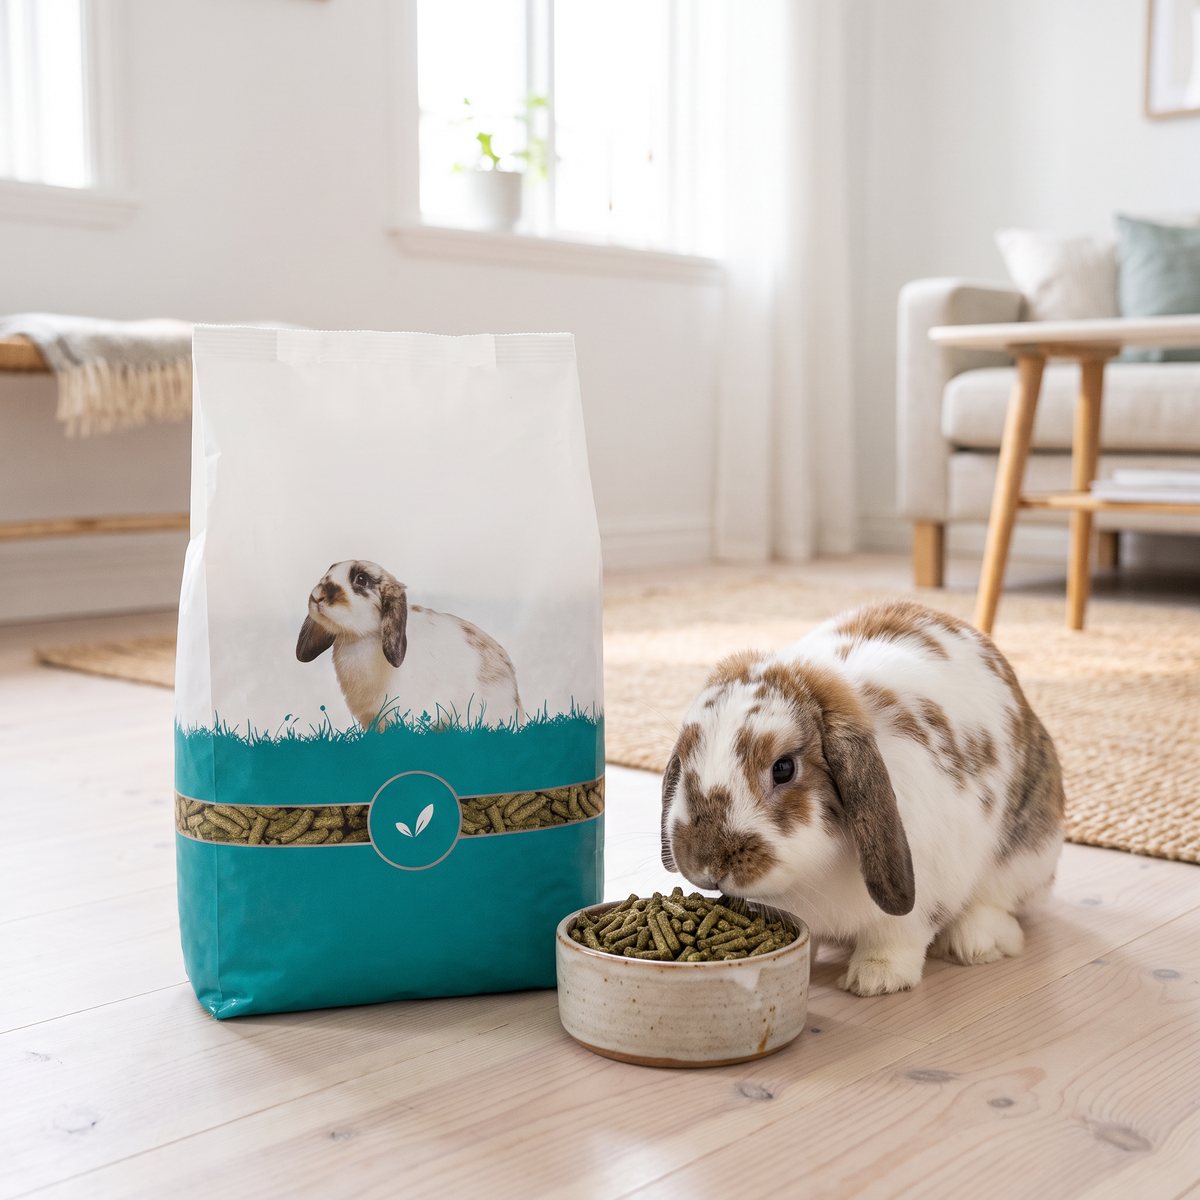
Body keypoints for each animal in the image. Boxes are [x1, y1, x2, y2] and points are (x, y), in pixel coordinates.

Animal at [660, 599, 1064, 996]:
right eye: (685, 758)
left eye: (784, 768)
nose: (706, 866)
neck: (810, 873)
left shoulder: (922, 895)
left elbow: (895, 937)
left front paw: (875, 979)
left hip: (1026, 855)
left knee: (998, 904)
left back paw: (975, 944)